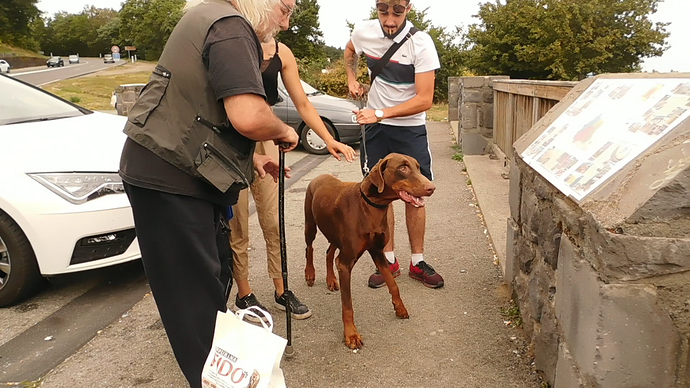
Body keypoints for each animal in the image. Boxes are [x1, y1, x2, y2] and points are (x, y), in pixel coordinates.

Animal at [302, 152, 432, 348]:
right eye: (402, 167)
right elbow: (347, 305)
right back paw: (310, 274)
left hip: (335, 235)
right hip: (311, 225)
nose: (431, 188)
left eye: (418, 167)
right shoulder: (346, 263)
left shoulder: (377, 252)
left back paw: (331, 280)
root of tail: (319, 177)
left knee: (329, 253)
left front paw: (400, 308)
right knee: (309, 248)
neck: (371, 206)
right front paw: (351, 334)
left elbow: (393, 284)